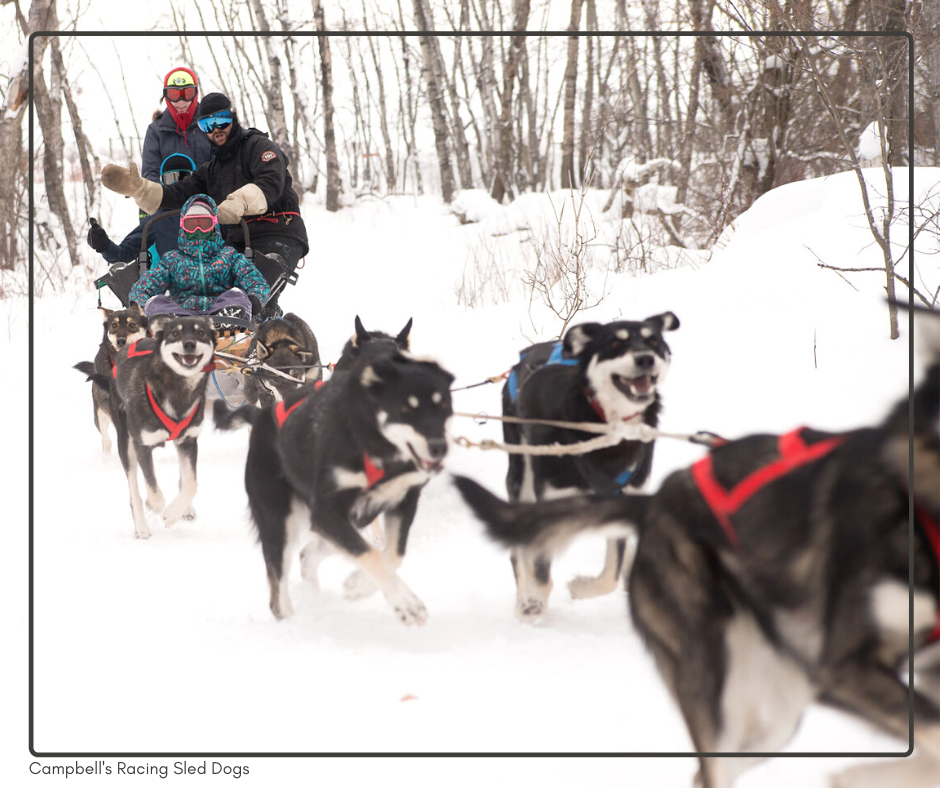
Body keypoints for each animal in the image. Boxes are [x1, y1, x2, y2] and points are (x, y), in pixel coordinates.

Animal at [77, 318, 217, 540]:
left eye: (201, 332)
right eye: (175, 333)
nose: (189, 344)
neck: (177, 390)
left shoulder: (188, 441)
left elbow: (191, 484)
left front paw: (175, 512)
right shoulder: (142, 444)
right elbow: (152, 487)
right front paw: (156, 506)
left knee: (183, 480)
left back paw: (185, 509)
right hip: (125, 442)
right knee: (134, 492)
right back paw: (142, 528)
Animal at [217, 332, 452, 628]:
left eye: (443, 407)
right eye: (403, 409)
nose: (438, 448)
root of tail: (262, 418)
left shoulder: (401, 501)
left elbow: (391, 554)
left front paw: (360, 584)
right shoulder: (328, 512)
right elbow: (370, 554)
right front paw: (405, 602)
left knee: (309, 555)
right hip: (279, 521)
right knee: (278, 594)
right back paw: (296, 623)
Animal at [504, 310, 680, 620]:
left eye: (654, 341)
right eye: (614, 344)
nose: (645, 358)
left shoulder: (623, 496)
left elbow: (610, 573)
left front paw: (581, 587)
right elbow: (542, 574)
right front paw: (534, 602)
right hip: (520, 477)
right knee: (519, 549)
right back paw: (525, 597)